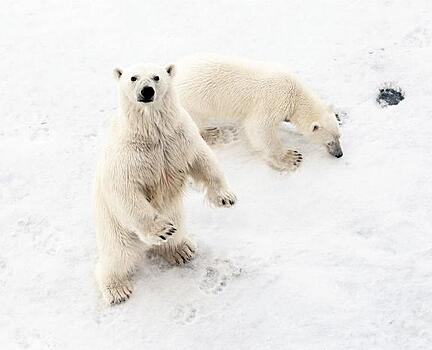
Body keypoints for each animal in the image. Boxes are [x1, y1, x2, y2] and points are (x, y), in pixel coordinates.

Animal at [93, 64, 236, 304]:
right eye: (133, 78)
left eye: (156, 77)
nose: (147, 91)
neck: (151, 130)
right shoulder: (127, 154)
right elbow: (126, 189)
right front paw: (161, 230)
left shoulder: (179, 137)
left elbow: (202, 158)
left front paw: (225, 197)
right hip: (115, 226)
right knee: (118, 255)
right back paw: (117, 289)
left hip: (176, 212)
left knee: (176, 231)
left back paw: (181, 250)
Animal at [174, 54, 342, 172]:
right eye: (329, 142)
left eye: (339, 136)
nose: (339, 154)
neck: (294, 95)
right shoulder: (273, 101)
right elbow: (260, 129)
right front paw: (291, 158)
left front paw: (338, 116)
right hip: (193, 103)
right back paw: (215, 134)